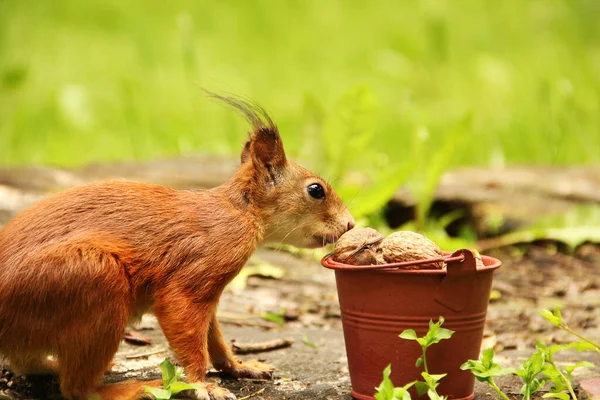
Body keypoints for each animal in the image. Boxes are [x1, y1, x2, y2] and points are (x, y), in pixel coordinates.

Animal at [0, 92, 356, 398]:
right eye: (316, 190)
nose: (350, 224)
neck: (240, 212)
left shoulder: (211, 295)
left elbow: (215, 339)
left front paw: (240, 366)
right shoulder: (195, 274)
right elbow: (188, 330)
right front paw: (203, 384)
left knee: (28, 362)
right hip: (91, 278)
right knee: (77, 389)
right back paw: (135, 388)